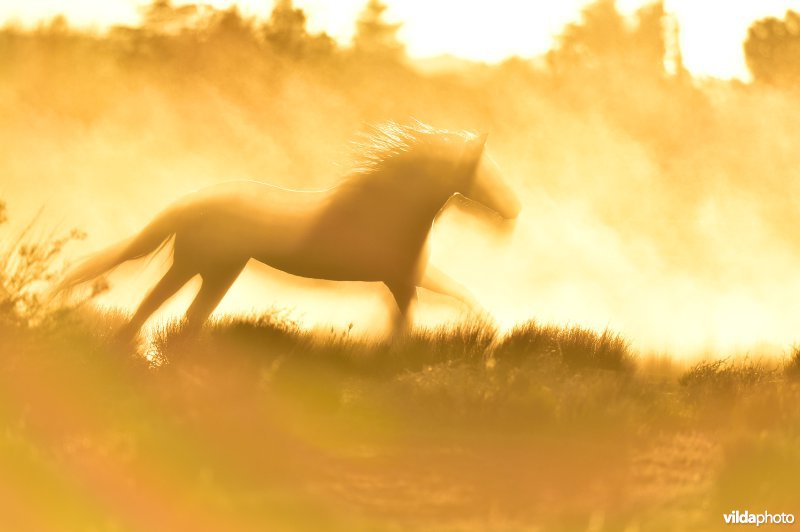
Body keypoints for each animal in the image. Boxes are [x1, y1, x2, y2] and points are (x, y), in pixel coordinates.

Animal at [58, 122, 521, 340]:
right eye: (487, 174)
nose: (515, 207)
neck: (388, 212)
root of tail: (193, 200)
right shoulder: (402, 278)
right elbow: (411, 319)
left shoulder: (407, 277)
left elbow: (450, 297)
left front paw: (488, 331)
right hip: (196, 264)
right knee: (151, 307)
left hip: (221, 271)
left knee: (187, 316)